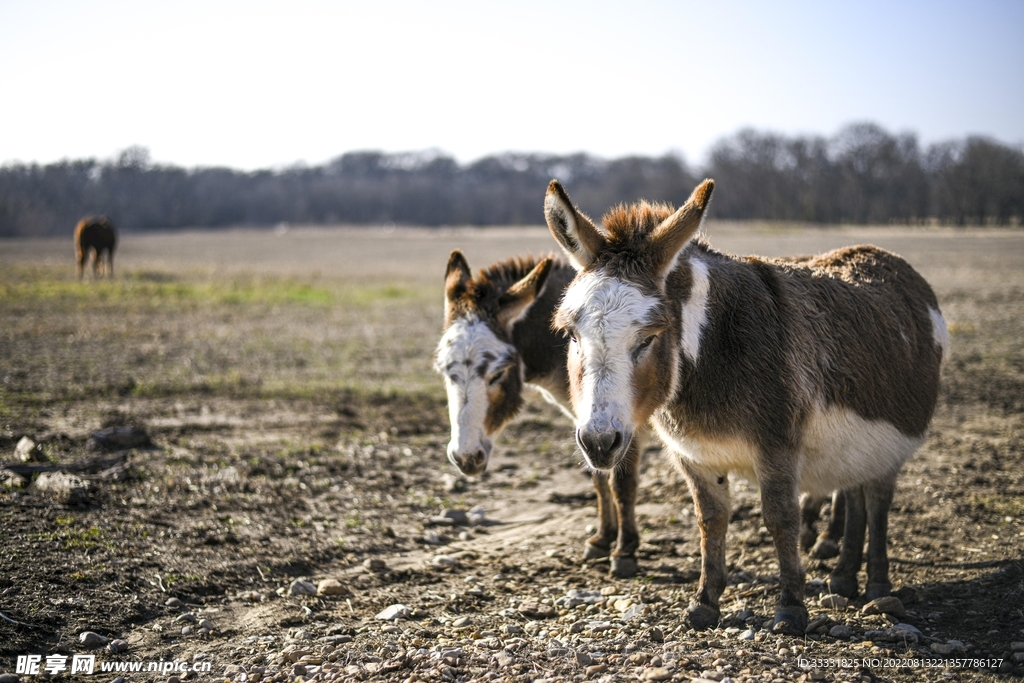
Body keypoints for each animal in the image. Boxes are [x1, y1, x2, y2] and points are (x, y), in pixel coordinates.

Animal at [544, 178, 946, 634]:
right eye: (572, 335)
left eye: (648, 337)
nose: (598, 442)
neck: (713, 349)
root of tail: (890, 259)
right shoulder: (695, 456)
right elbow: (711, 521)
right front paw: (704, 603)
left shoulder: (777, 447)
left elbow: (781, 517)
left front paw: (790, 608)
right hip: (857, 446)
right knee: (856, 492)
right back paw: (843, 579)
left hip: (891, 444)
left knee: (877, 500)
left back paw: (878, 586)